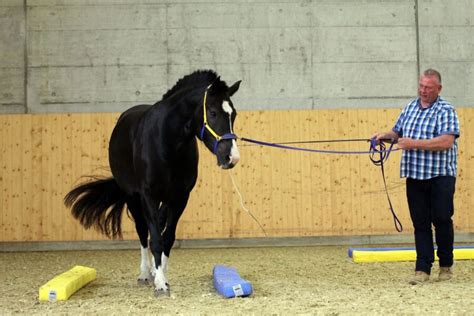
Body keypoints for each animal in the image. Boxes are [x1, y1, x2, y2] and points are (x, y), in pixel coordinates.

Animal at [65, 69, 241, 296]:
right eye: (212, 112)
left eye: (233, 114)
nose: (231, 157)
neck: (167, 142)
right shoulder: (148, 196)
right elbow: (155, 239)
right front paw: (159, 283)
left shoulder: (179, 198)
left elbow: (167, 238)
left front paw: (162, 275)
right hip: (132, 197)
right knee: (142, 232)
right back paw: (144, 274)